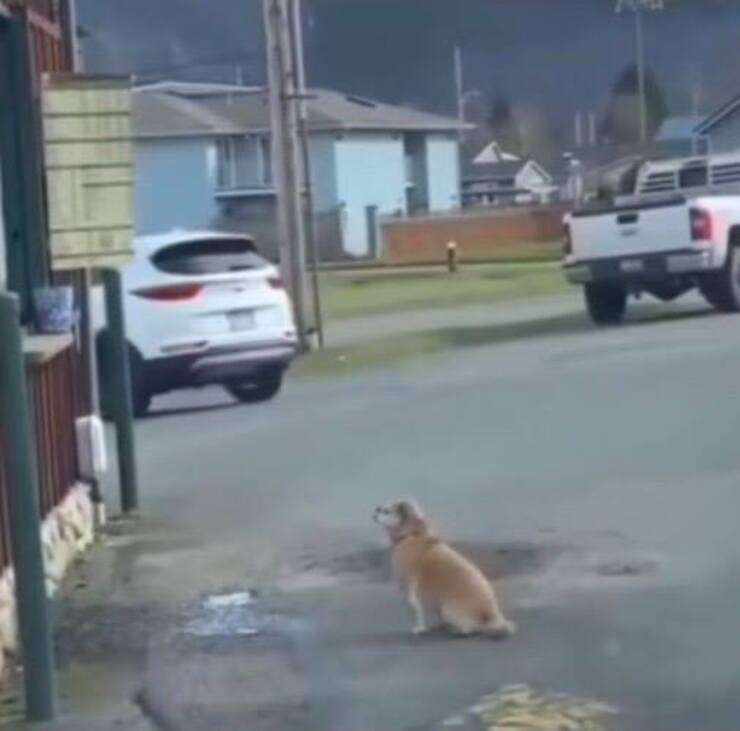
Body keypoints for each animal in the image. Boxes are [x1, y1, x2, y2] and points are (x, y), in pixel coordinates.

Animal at [372, 500, 516, 636]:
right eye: (382, 508)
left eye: (386, 511)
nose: (376, 509)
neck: (411, 534)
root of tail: (491, 615)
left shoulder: (408, 587)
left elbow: (414, 608)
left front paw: (419, 628)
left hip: (449, 610)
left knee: (471, 629)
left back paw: (456, 629)